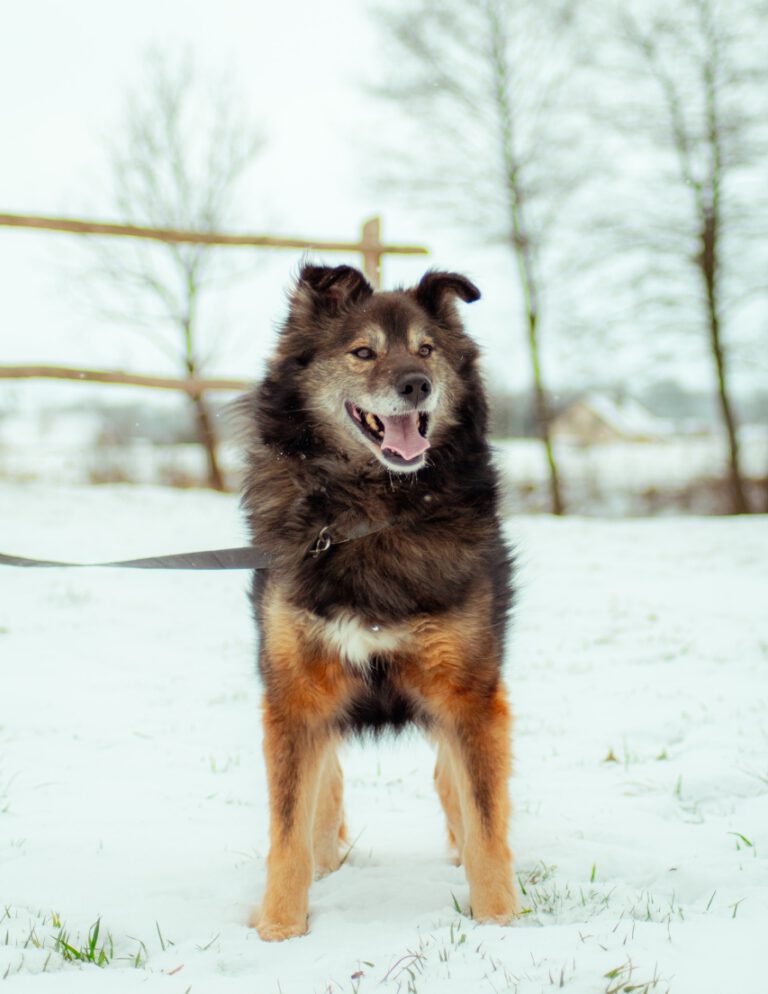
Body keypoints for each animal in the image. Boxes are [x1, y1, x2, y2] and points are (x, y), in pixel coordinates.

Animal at [238, 262, 516, 936]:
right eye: (363, 352)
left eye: (427, 350)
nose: (417, 385)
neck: (372, 512)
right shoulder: (296, 695)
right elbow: (289, 827)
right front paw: (279, 929)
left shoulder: (468, 694)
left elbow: (485, 821)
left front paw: (502, 925)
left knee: (451, 785)